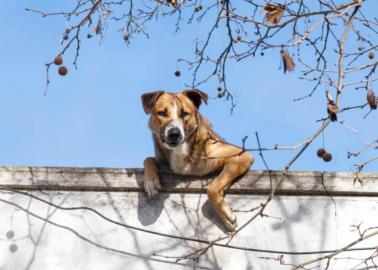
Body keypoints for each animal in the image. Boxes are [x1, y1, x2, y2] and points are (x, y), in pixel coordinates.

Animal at [142, 89, 254, 230]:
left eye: (184, 113)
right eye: (162, 113)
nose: (174, 134)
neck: (182, 150)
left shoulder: (240, 156)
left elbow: (213, 187)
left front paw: (226, 215)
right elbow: (148, 159)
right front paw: (151, 181)